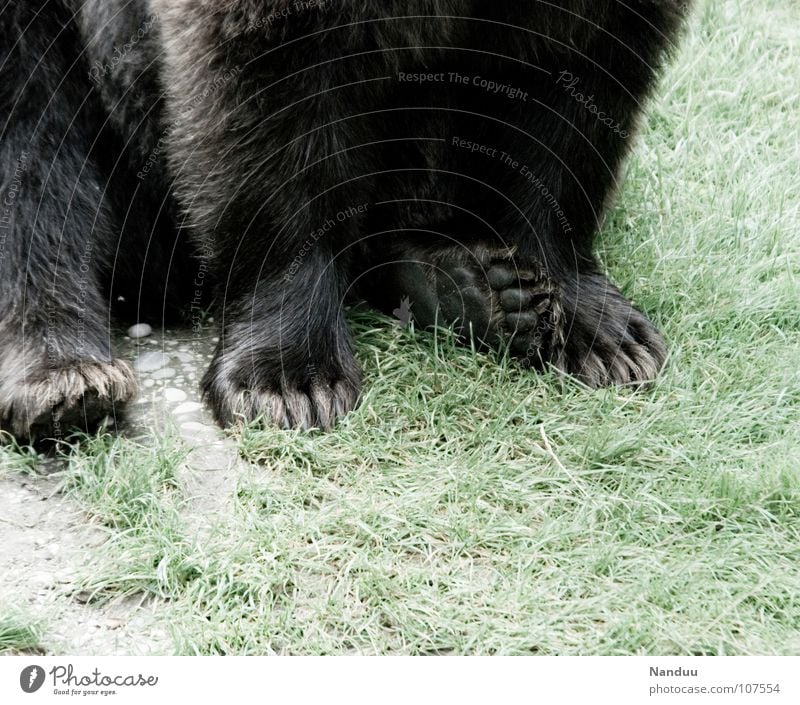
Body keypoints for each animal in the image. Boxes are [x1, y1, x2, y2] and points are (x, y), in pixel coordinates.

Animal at [0, 1, 692, 440]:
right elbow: (272, 77)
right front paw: (290, 382)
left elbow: (579, 74)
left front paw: (603, 332)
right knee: (33, 133)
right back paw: (65, 377)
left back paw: (470, 289)